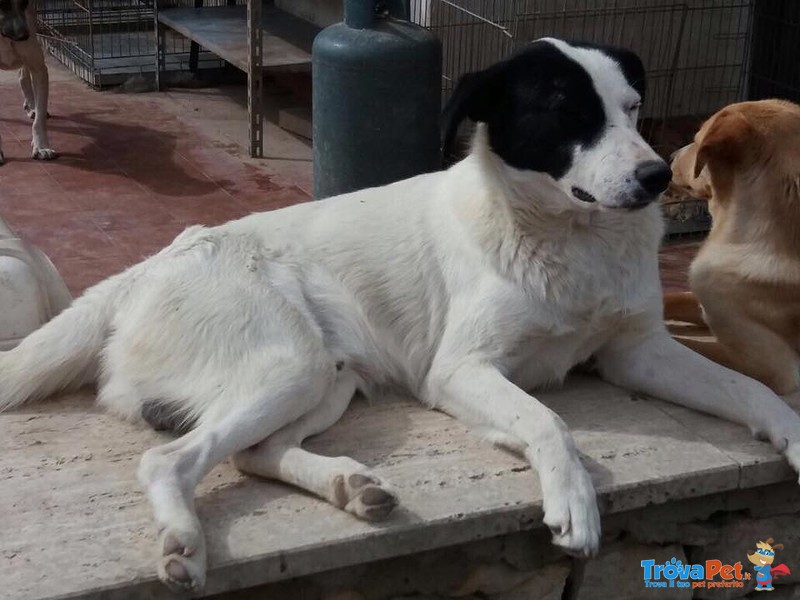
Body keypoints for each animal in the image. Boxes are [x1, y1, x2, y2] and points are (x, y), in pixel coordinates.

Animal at [0, 0, 56, 164]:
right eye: (2, 4)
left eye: (24, 2)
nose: (23, 36)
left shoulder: (39, 69)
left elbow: (40, 119)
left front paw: (42, 147)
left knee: (23, 75)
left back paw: (32, 105)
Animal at [664, 99, 800, 394]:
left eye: (696, 139)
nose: (670, 156)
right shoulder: (707, 300)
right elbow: (668, 297)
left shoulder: (772, 366)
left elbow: (689, 348)